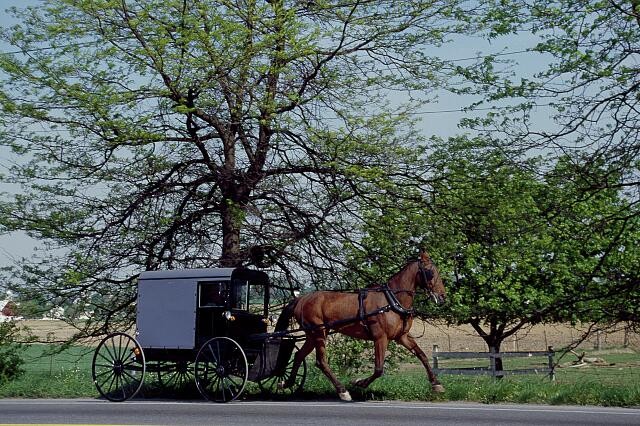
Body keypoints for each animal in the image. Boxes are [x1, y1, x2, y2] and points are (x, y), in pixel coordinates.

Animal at [275, 250, 446, 401]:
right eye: (430, 272)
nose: (442, 297)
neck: (392, 300)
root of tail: (301, 299)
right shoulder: (380, 338)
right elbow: (378, 369)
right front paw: (359, 382)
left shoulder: (401, 336)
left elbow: (422, 356)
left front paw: (436, 383)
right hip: (318, 333)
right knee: (321, 362)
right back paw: (342, 391)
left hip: (313, 335)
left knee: (299, 355)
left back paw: (286, 383)